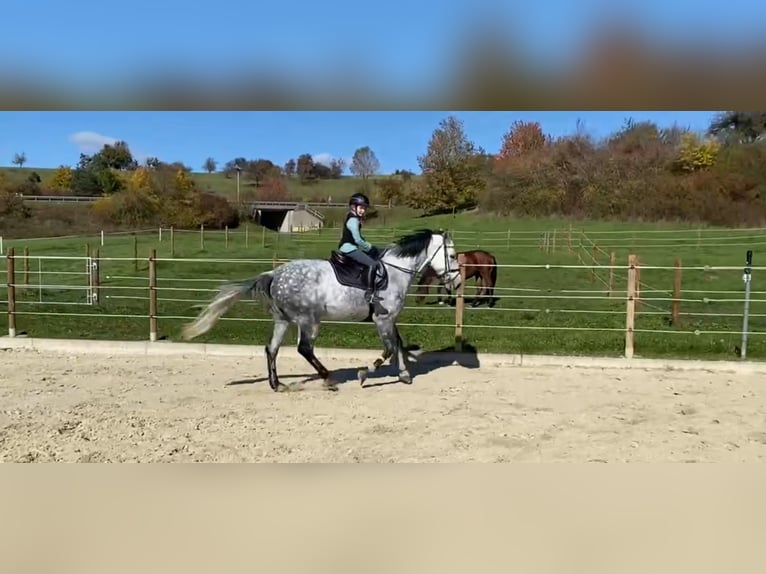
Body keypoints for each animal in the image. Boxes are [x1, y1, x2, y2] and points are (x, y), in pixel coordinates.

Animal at [180, 229, 462, 392]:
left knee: (272, 349)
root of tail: (274, 274)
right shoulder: (383, 319)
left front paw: (404, 375)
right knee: (304, 348)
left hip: (283, 320)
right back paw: (329, 379)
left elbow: (399, 344)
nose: (457, 283)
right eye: (452, 256)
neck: (394, 272)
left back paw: (277, 384)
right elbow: (389, 348)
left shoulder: (390, 318)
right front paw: (364, 373)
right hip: (309, 320)